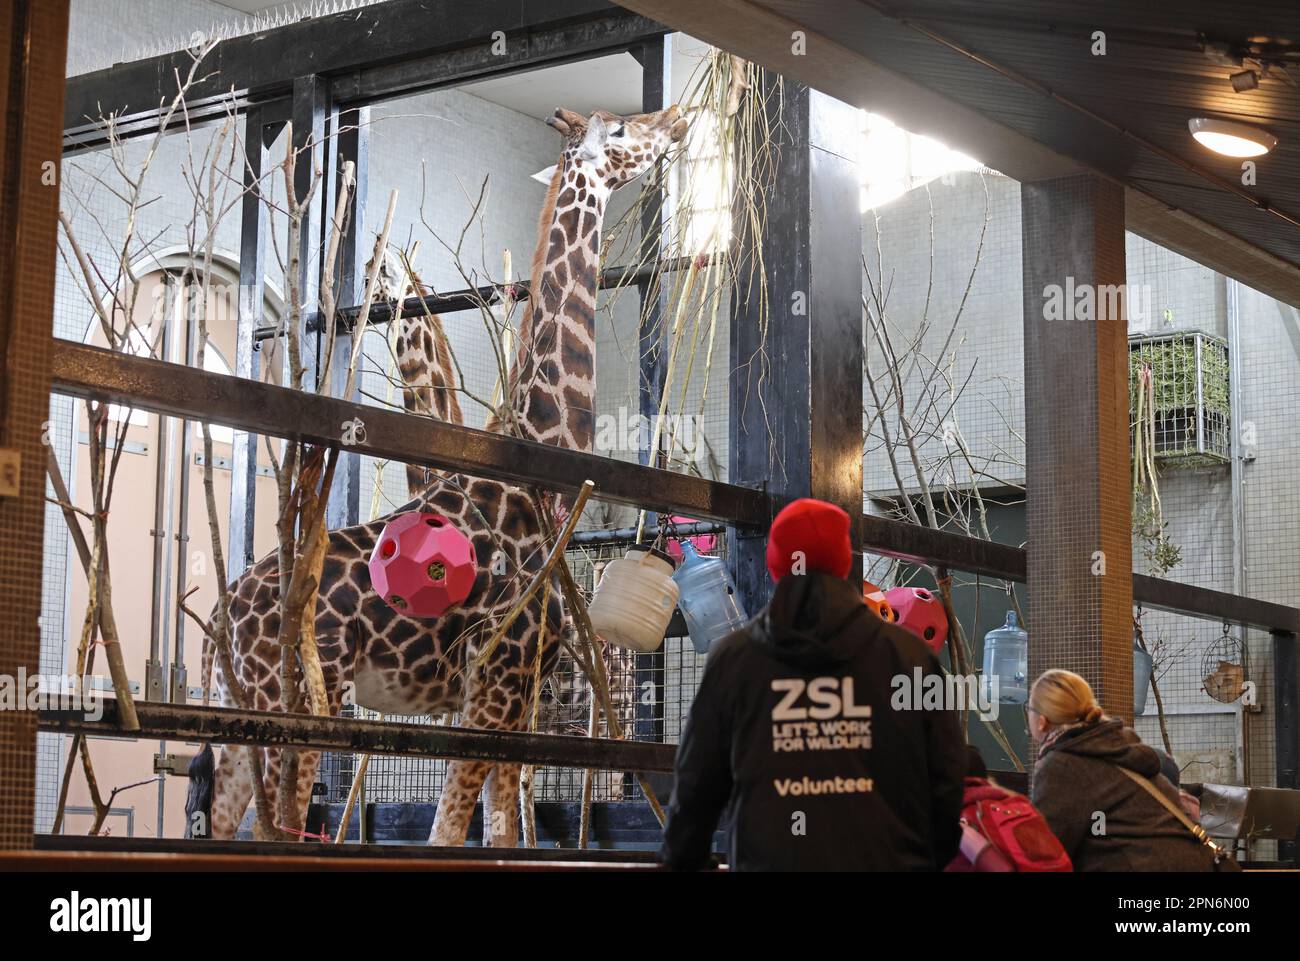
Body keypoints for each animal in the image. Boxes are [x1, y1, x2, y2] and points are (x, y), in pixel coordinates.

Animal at [188, 104, 687, 847]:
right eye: (622, 130)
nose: (676, 120)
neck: (538, 460)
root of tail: (220, 622)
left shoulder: (510, 697)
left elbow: (503, 833)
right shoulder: (497, 681)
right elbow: (452, 833)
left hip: (240, 707)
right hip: (301, 699)